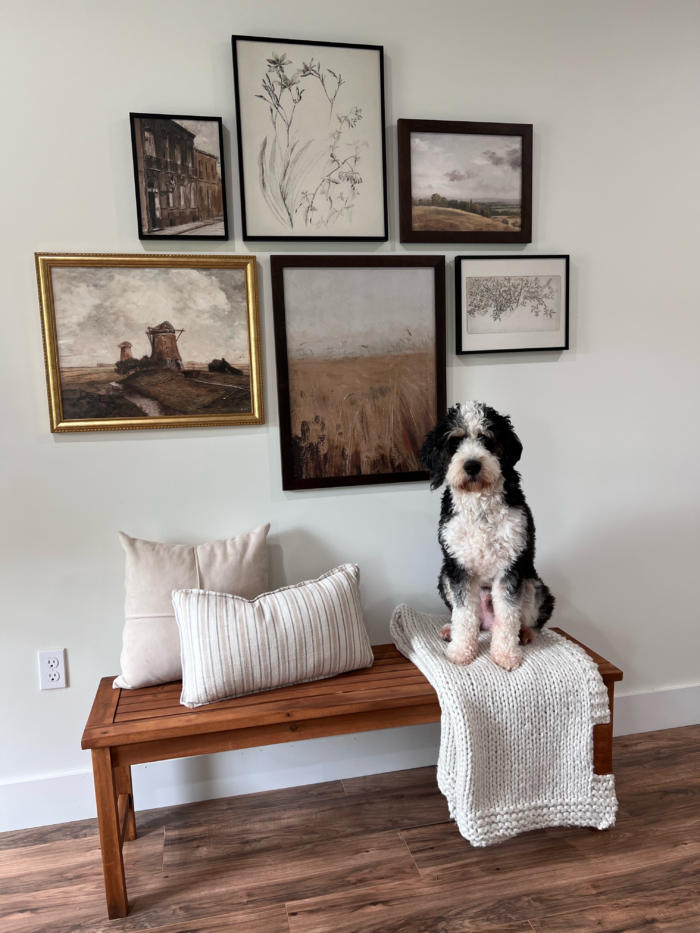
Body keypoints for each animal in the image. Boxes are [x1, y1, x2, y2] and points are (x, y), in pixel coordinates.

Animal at [418, 400, 556, 668]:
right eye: (454, 442)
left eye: (486, 439)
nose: (472, 465)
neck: (479, 505)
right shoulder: (458, 569)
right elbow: (463, 616)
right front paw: (461, 652)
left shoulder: (510, 567)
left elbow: (509, 616)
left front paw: (505, 655)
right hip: (444, 577)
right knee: (469, 620)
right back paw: (450, 630)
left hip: (535, 585)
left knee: (526, 619)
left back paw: (525, 634)